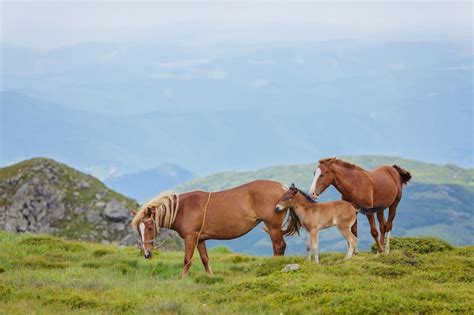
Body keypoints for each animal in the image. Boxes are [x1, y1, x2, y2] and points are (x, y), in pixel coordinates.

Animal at [131, 180, 298, 276]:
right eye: (139, 231)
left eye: (150, 227)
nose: (146, 254)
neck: (182, 209)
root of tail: (283, 188)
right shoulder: (200, 239)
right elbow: (205, 260)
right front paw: (211, 277)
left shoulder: (191, 238)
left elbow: (187, 260)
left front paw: (182, 279)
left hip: (273, 226)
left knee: (279, 246)